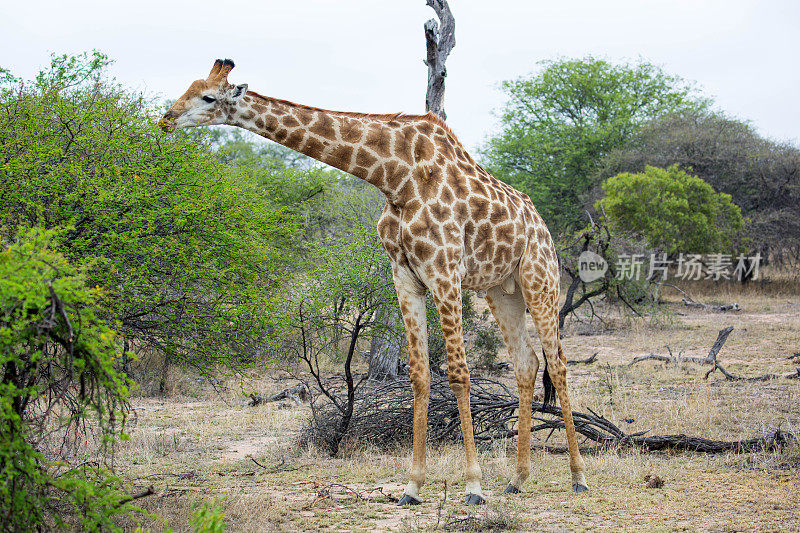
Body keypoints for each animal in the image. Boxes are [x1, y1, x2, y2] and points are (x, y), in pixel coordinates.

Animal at [161, 60, 588, 504]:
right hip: (501, 291)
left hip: (540, 280)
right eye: (189, 87)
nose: (166, 119)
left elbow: (458, 373)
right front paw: (413, 486)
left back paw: (578, 476)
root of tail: (543, 226)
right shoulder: (405, 276)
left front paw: (472, 485)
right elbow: (419, 374)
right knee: (527, 363)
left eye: (208, 97)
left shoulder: (444, 271)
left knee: (557, 363)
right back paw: (517, 479)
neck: (395, 176)